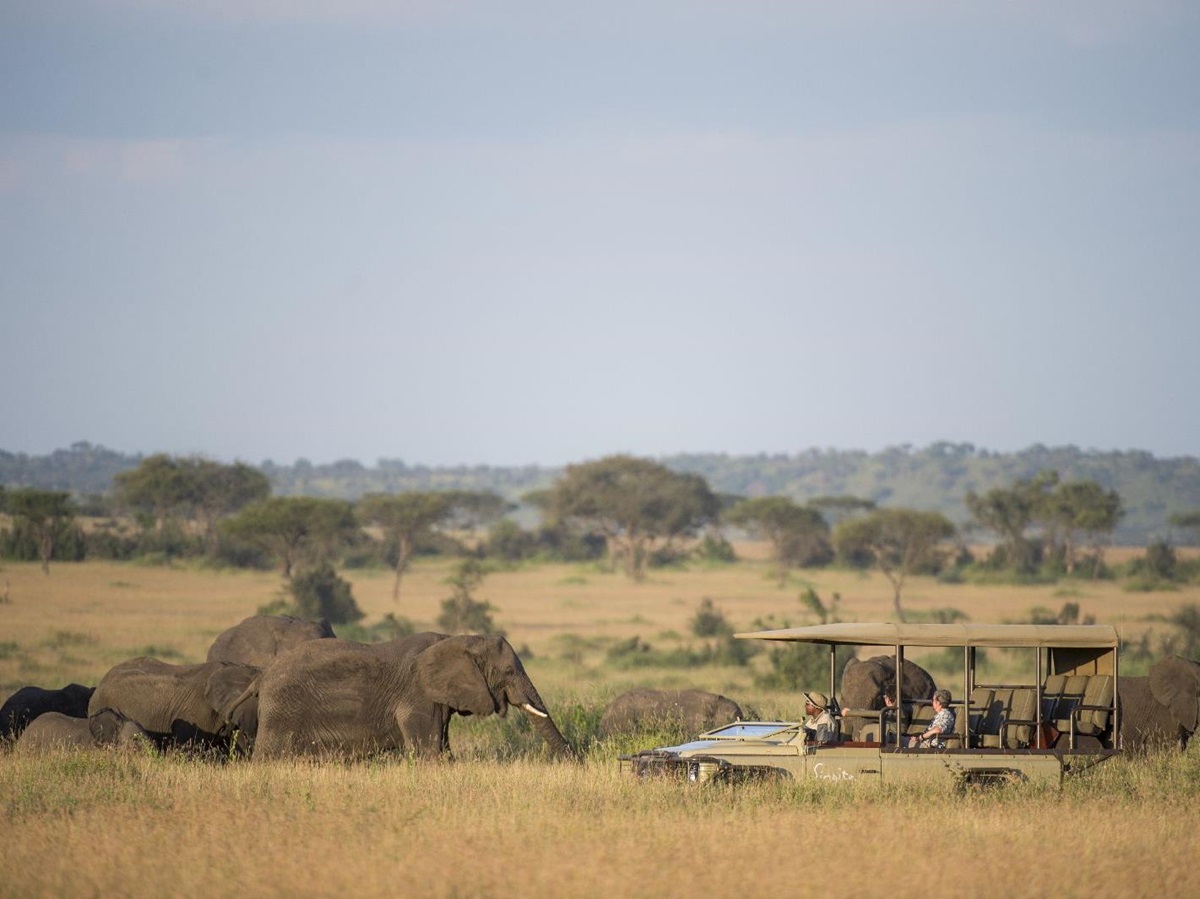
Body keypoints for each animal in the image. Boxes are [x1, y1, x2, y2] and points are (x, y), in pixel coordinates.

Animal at [252, 632, 574, 760]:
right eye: (508, 671)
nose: (576, 759)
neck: (459, 638)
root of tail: (263, 676)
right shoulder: (416, 696)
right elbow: (428, 753)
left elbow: (442, 750)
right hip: (281, 712)